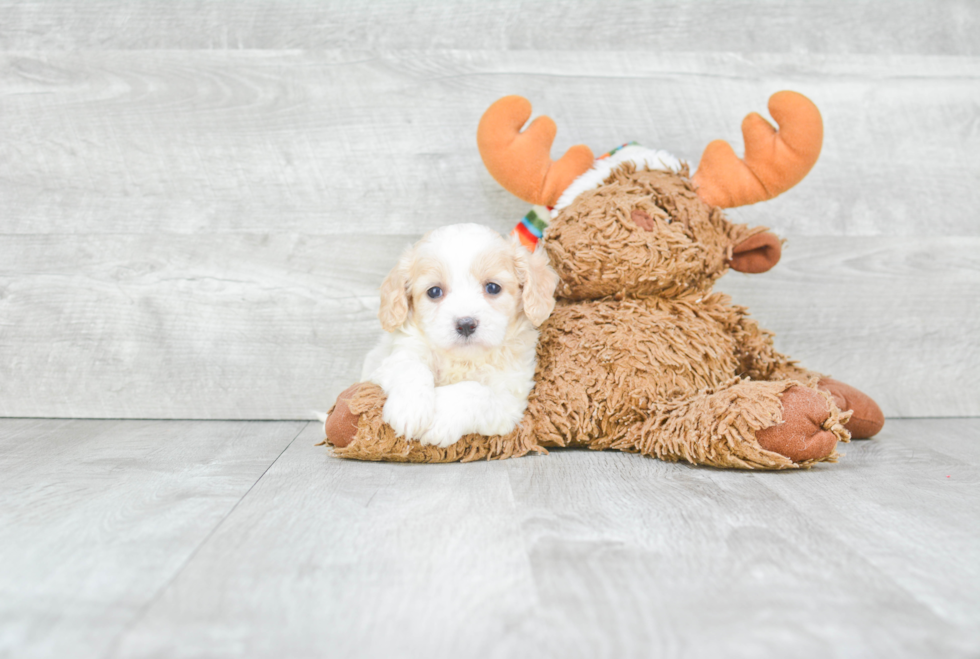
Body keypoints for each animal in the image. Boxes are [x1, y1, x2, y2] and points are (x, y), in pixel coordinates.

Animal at [360, 223, 560, 448]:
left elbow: (476, 391)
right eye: (434, 292)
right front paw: (410, 408)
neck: (463, 360)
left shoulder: (510, 401)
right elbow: (411, 367)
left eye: (493, 287)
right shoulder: (396, 355)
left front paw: (440, 416)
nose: (465, 324)